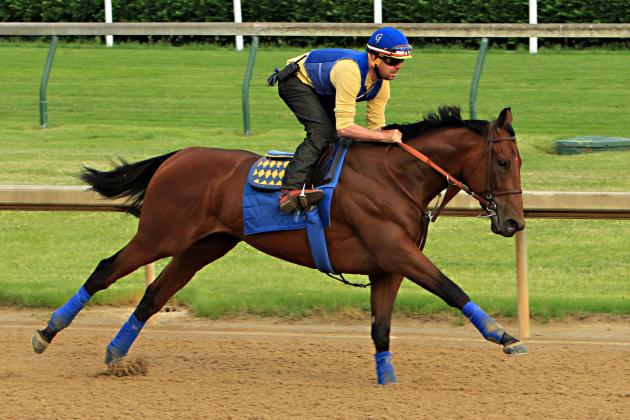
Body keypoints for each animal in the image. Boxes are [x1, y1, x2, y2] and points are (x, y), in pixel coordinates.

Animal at [32, 105, 532, 384]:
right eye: (503, 162)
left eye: (520, 161)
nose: (514, 222)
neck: (395, 177)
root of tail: (178, 156)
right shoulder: (396, 252)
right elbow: (450, 288)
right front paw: (504, 336)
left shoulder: (386, 266)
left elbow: (381, 327)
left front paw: (387, 381)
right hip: (160, 234)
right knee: (105, 269)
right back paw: (45, 333)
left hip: (204, 245)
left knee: (155, 294)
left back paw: (117, 355)